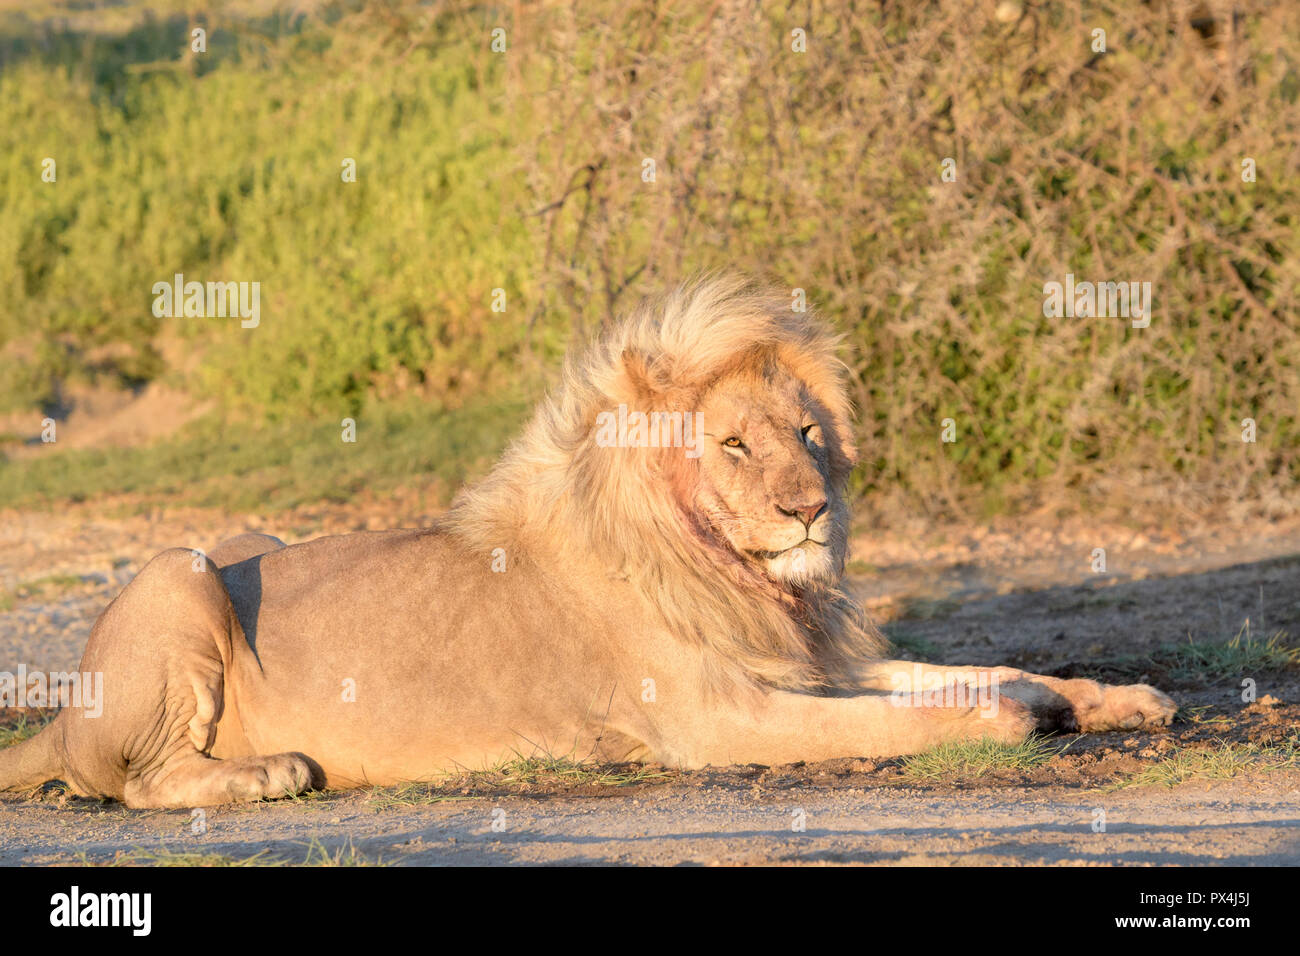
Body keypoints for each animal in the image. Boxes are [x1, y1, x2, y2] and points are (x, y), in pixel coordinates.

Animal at [0, 274, 1180, 806]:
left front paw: (1110, 699)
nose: (810, 508)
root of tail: (59, 717)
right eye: (735, 445)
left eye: (807, 432)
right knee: (135, 781)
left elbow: (990, 667)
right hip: (182, 569)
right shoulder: (720, 717)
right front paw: (1014, 719)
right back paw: (271, 771)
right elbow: (926, 712)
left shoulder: (805, 662)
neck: (732, 573)